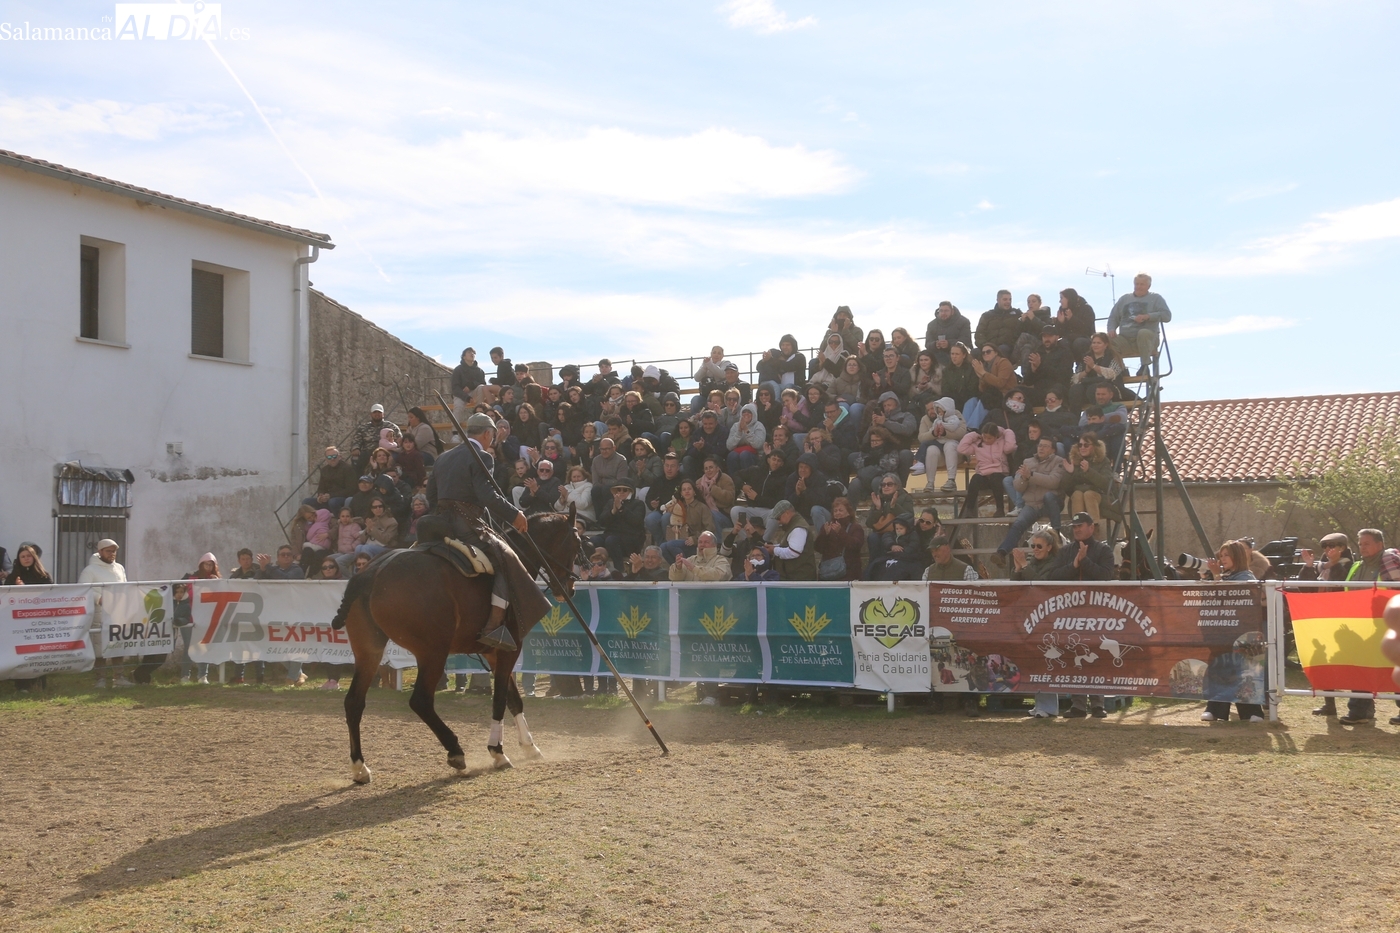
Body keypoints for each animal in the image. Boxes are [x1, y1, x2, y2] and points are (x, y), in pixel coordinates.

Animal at [330, 507, 582, 784]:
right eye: (577, 544)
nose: (569, 587)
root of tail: (372, 574)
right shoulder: (509, 649)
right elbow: (500, 699)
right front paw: (498, 752)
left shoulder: (495, 653)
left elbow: (514, 700)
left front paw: (529, 746)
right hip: (432, 654)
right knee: (420, 701)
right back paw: (455, 751)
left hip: (369, 651)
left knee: (354, 702)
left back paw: (360, 767)